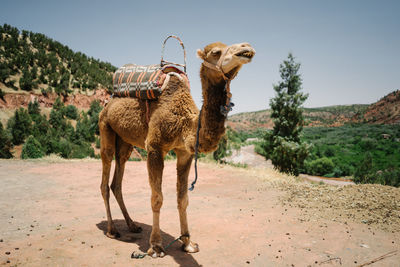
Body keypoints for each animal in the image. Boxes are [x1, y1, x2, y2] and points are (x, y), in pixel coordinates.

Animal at [100, 41, 256, 258]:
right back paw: (112, 229)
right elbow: (157, 198)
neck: (185, 123)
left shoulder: (185, 153)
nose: (246, 48)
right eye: (216, 52)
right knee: (105, 179)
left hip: (124, 141)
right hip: (105, 127)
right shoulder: (155, 147)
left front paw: (188, 243)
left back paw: (132, 225)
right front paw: (156, 246)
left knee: (118, 178)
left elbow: (183, 199)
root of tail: (109, 101)